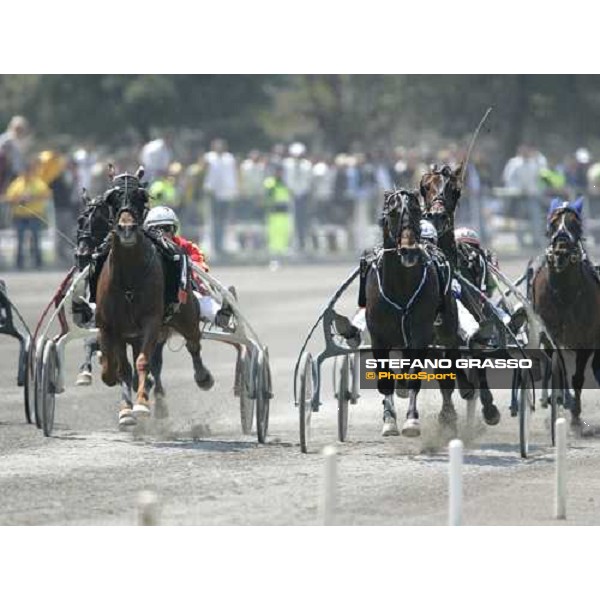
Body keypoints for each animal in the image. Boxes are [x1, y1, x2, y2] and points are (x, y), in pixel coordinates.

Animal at [95, 168, 214, 426]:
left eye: (141, 196)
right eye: (112, 198)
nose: (126, 228)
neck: (129, 278)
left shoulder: (151, 321)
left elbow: (143, 361)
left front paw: (141, 404)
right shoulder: (111, 326)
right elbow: (117, 369)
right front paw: (126, 409)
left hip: (185, 316)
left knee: (193, 344)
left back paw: (202, 377)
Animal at [366, 188, 460, 436]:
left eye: (417, 212)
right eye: (393, 213)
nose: (408, 252)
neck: (401, 286)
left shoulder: (421, 333)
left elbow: (414, 377)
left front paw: (411, 421)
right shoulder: (378, 337)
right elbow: (385, 379)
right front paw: (389, 420)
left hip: (447, 331)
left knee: (447, 375)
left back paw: (448, 414)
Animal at [422, 164, 502, 426]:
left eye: (454, 190)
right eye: (424, 186)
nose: (436, 216)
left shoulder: (477, 326)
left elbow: (476, 358)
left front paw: (489, 408)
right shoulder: (432, 340)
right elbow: (445, 373)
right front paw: (447, 414)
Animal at [528, 198, 600, 432]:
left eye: (575, 225)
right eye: (552, 224)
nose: (561, 252)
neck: (566, 294)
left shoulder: (587, 339)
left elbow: (578, 377)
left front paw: (576, 415)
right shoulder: (551, 334)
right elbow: (557, 366)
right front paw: (558, 400)